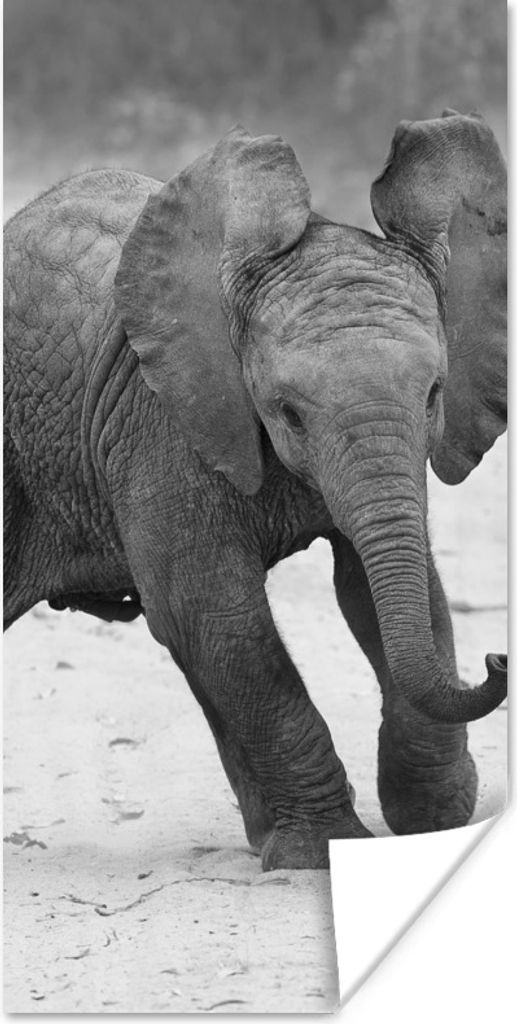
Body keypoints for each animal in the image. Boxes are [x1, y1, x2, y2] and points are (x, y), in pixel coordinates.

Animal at [4, 110, 507, 870]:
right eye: (286, 411)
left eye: (434, 394)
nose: (498, 657)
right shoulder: (161, 424)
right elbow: (216, 613)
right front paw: (325, 848)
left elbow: (389, 588)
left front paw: (431, 820)